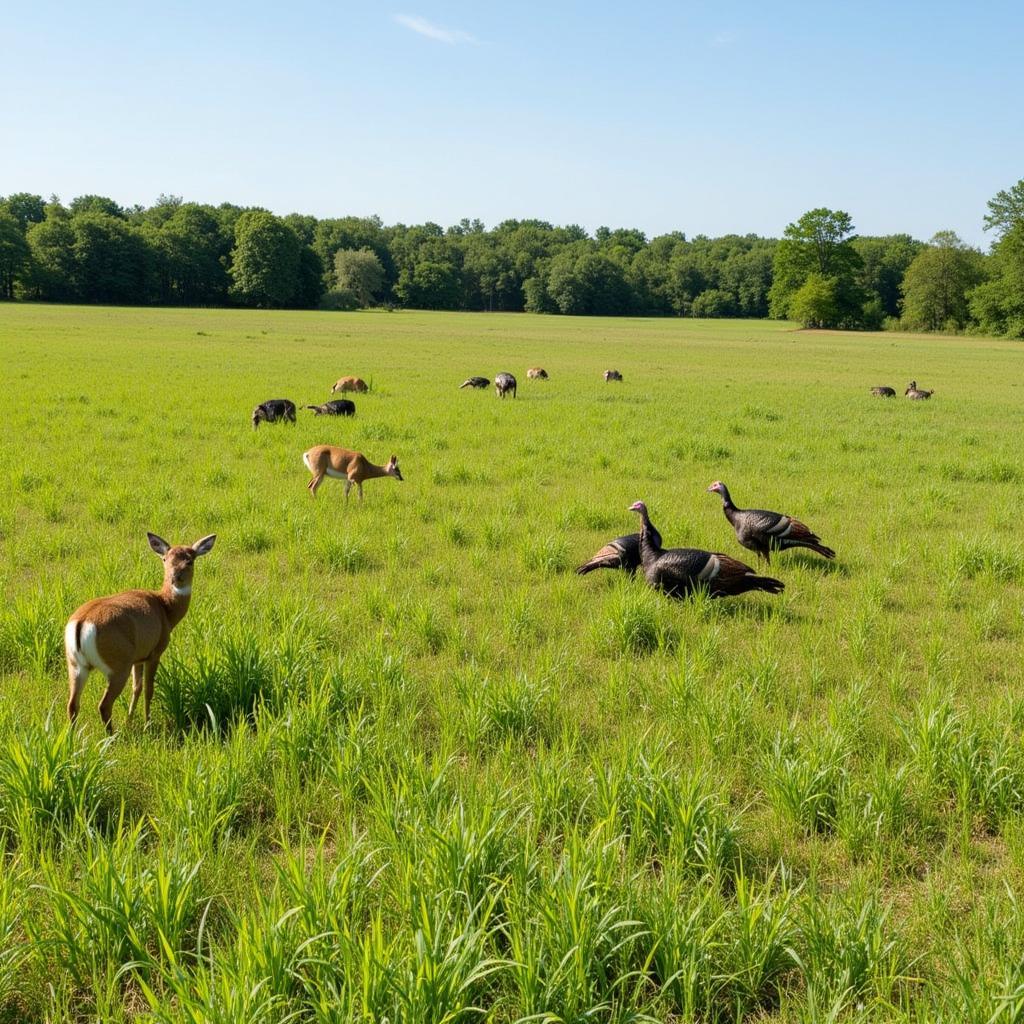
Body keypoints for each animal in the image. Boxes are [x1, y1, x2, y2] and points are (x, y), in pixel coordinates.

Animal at [64, 532, 216, 733]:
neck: (166, 610)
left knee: (72, 704)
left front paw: (129, 720)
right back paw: (112, 736)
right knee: (104, 705)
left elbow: (136, 687)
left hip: (75, 665)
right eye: (165, 559)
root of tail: (81, 623)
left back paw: (73, 737)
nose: (175, 577)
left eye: (189, 560)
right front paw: (147, 723)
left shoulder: (138, 657)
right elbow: (148, 689)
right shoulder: (155, 652)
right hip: (118, 665)